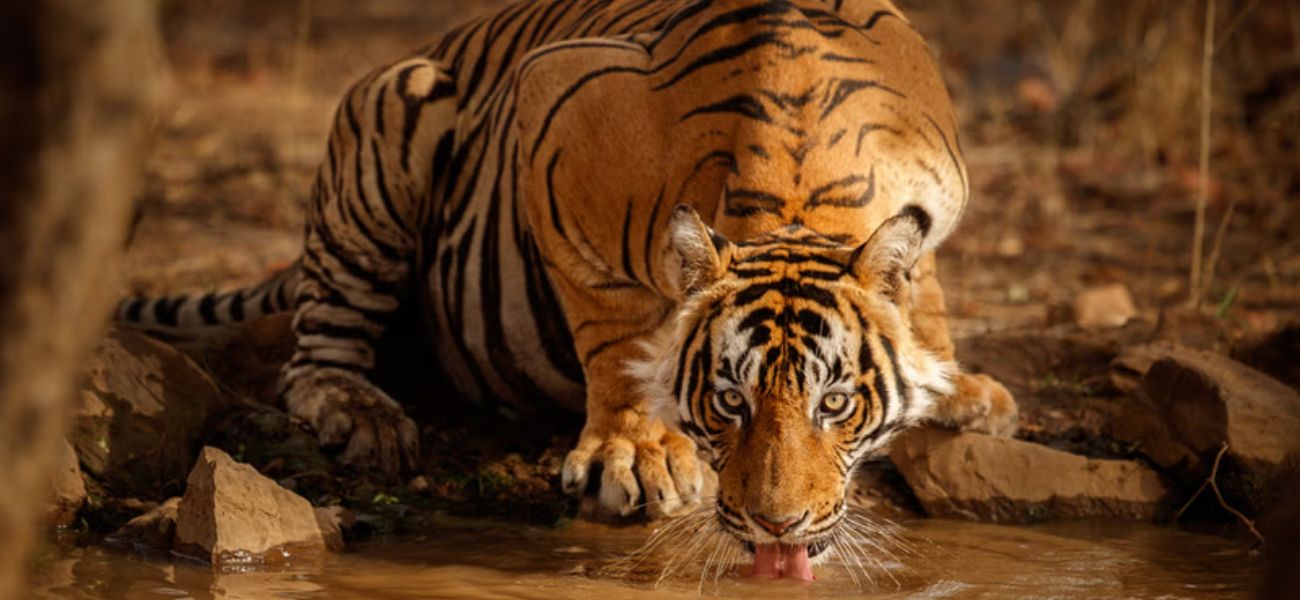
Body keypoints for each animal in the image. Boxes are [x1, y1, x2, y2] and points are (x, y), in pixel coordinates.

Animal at [118, 0, 1018, 580]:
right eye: (730, 403)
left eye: (835, 406)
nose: (777, 527)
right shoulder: (554, 120)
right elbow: (615, 329)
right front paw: (636, 454)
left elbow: (923, 287)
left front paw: (954, 384)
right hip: (393, 113)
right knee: (314, 359)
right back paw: (363, 415)